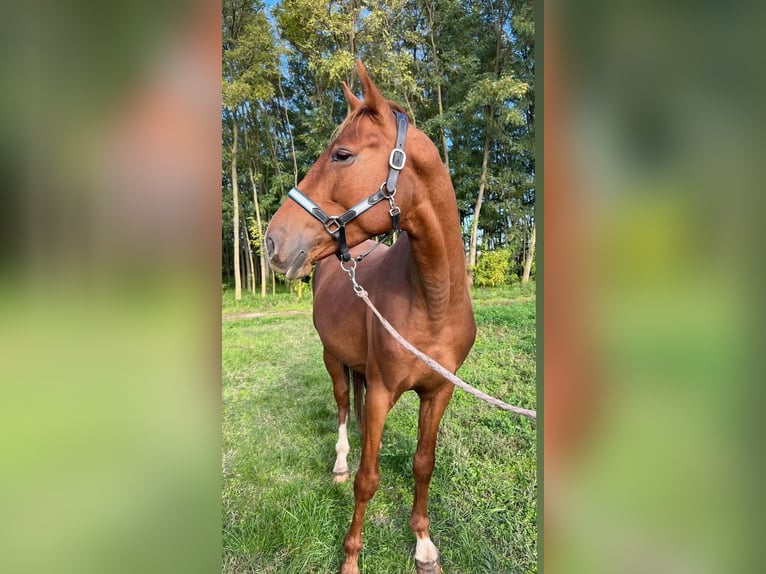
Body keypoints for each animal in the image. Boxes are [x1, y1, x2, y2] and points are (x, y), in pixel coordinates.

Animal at [268, 63, 476, 574]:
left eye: (342, 154)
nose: (272, 242)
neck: (432, 301)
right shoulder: (383, 390)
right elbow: (368, 479)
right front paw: (350, 558)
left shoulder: (438, 392)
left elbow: (423, 464)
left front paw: (423, 545)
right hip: (333, 359)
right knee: (345, 406)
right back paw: (341, 461)